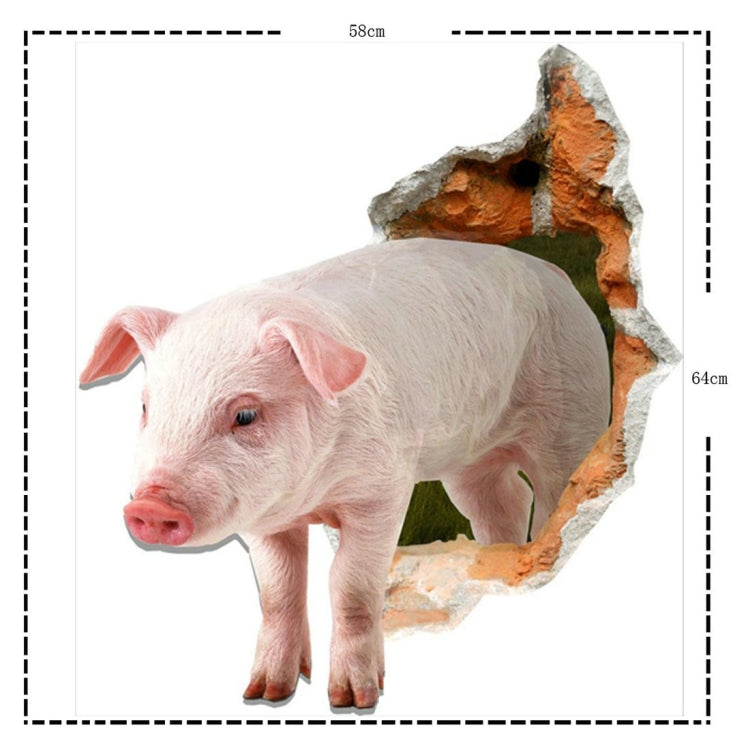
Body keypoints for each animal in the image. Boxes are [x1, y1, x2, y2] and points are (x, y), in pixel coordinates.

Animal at [79, 237, 610, 709]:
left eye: (245, 415)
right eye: (146, 408)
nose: (150, 504)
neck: (312, 496)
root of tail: (555, 273)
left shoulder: (383, 489)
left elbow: (351, 587)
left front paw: (353, 701)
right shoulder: (262, 518)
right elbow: (277, 593)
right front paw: (264, 694)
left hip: (575, 410)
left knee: (558, 494)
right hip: (468, 461)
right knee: (504, 499)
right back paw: (496, 563)